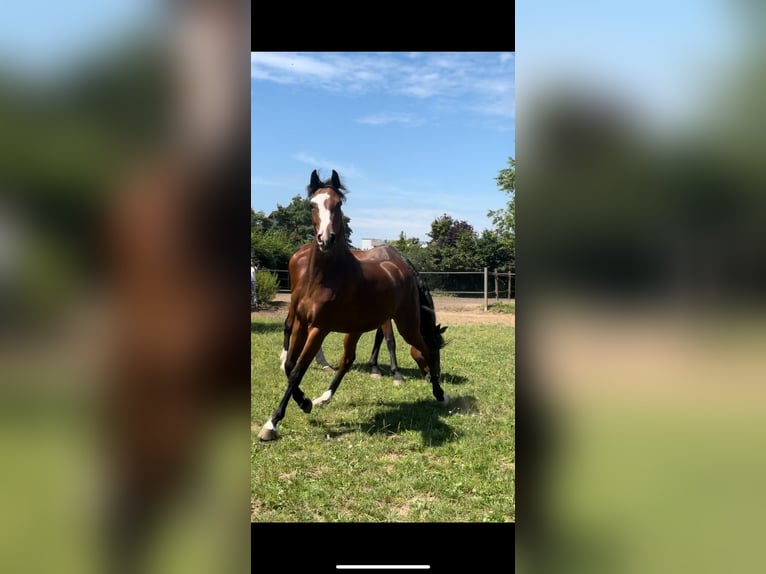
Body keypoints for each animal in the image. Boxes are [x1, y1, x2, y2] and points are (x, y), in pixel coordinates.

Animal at [280, 242, 404, 382]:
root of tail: (296, 255)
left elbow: (379, 338)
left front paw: (375, 368)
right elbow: (390, 340)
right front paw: (396, 374)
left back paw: (323, 364)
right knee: (289, 325)